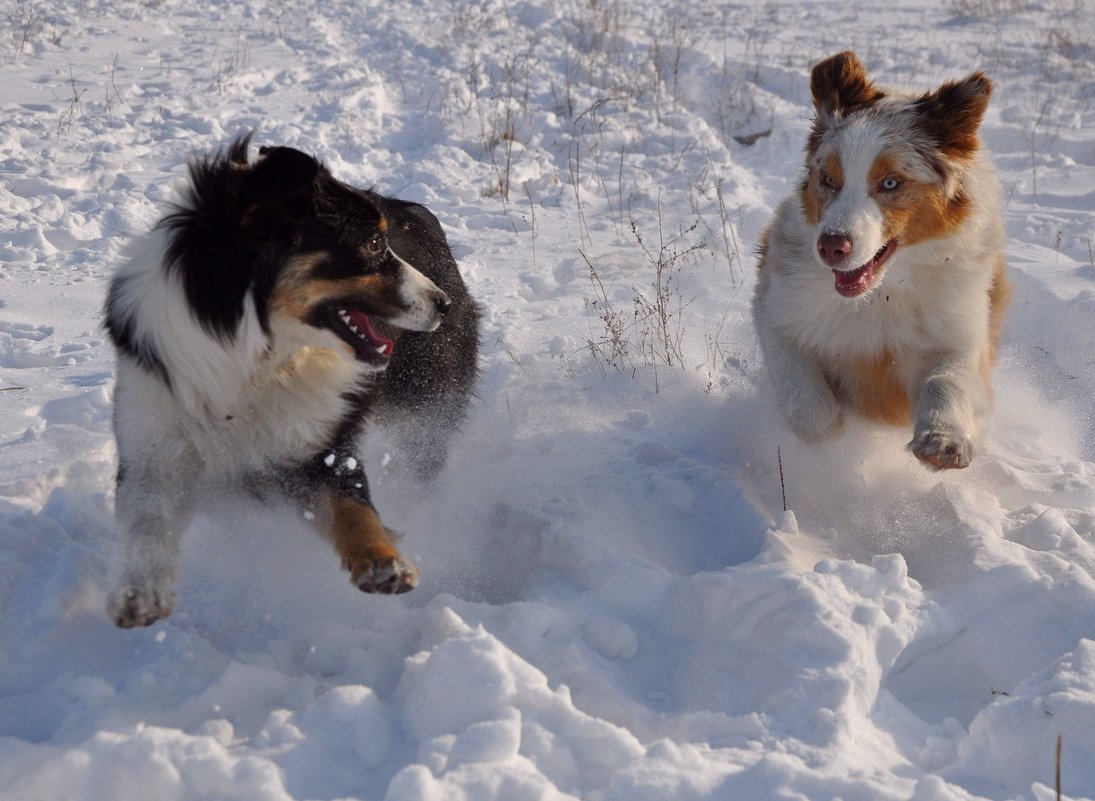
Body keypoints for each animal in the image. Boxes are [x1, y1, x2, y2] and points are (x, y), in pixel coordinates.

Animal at [105, 136, 479, 625]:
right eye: (373, 243)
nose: (444, 303)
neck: (257, 358)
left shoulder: (318, 442)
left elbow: (352, 506)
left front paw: (383, 562)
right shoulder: (154, 437)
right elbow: (146, 522)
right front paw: (139, 591)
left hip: (426, 401)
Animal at [753, 50, 1007, 468]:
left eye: (890, 183)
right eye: (828, 179)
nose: (831, 246)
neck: (880, 295)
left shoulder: (957, 333)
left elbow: (948, 380)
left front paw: (943, 440)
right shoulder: (777, 306)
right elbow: (809, 407)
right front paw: (837, 425)